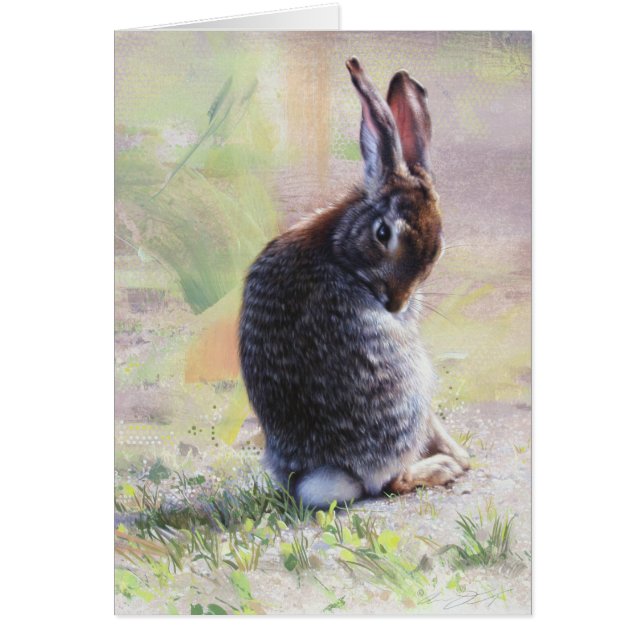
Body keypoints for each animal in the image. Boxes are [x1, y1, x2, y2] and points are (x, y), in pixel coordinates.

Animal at [238, 57, 469, 508]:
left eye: (438, 248)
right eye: (383, 234)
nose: (395, 304)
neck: (341, 246)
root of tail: (333, 472)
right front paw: (462, 457)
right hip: (412, 386)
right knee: (390, 481)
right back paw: (441, 468)